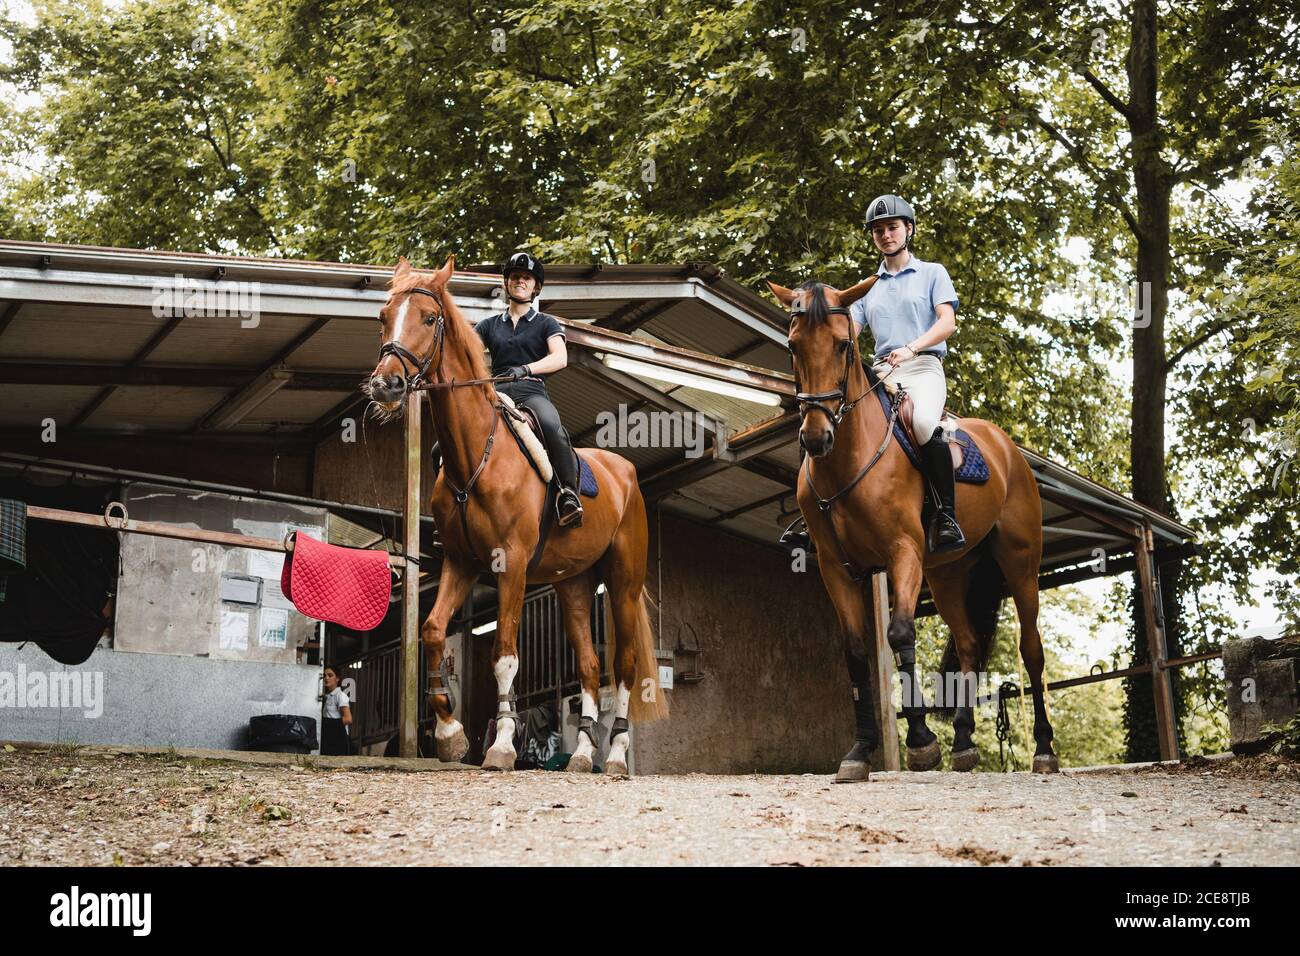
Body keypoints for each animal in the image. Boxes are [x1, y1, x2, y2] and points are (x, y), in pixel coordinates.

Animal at [365, 256, 668, 774]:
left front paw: (502, 746)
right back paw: (582, 756)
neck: (476, 457)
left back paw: (615, 757)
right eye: (384, 317)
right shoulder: (462, 564)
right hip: (575, 586)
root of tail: (624, 472)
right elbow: (432, 631)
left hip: (623, 584)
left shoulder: (512, 563)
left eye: (428, 318)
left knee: (624, 666)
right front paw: (449, 734)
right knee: (589, 666)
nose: (386, 385)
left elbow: (505, 655)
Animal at [767, 277, 1057, 780]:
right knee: (967, 644)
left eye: (843, 345)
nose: (816, 438)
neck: (848, 460)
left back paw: (1043, 749)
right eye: (792, 345)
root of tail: (1007, 447)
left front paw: (921, 742)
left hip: (1020, 562)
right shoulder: (836, 569)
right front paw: (860, 750)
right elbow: (856, 651)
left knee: (1031, 648)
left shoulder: (902, 553)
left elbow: (900, 634)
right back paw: (963, 743)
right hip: (946, 574)